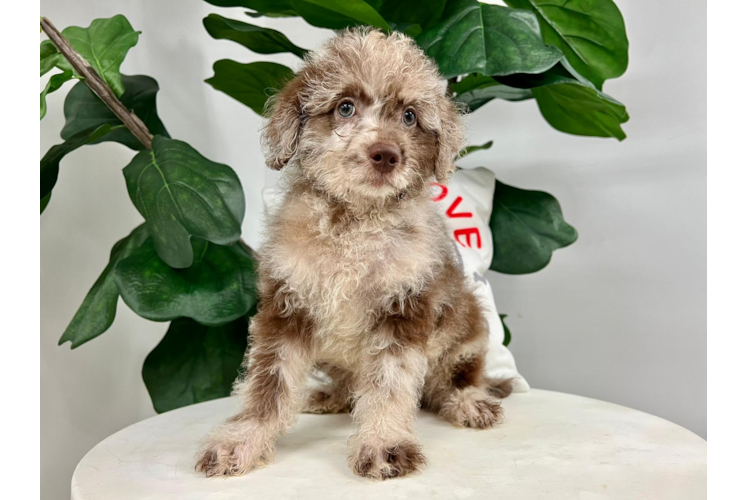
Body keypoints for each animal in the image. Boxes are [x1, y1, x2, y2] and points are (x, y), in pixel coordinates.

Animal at [196, 27, 512, 480]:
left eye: (409, 116)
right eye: (345, 107)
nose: (386, 154)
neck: (354, 223)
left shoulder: (403, 309)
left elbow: (389, 385)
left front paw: (383, 443)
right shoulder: (286, 307)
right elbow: (268, 383)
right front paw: (243, 439)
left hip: (466, 326)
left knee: (453, 380)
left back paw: (469, 401)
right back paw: (330, 395)